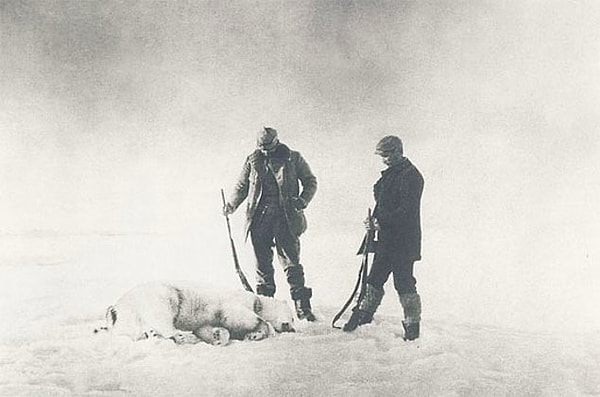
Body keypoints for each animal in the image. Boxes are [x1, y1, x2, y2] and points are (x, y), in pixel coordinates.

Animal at [99, 280, 296, 344]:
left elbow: (207, 327)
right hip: (164, 295)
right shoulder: (235, 302)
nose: (292, 328)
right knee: (162, 315)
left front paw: (218, 336)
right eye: (293, 317)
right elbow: (237, 315)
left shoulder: (207, 320)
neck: (256, 300)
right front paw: (259, 329)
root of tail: (117, 306)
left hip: (130, 316)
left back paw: (153, 334)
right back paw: (180, 335)